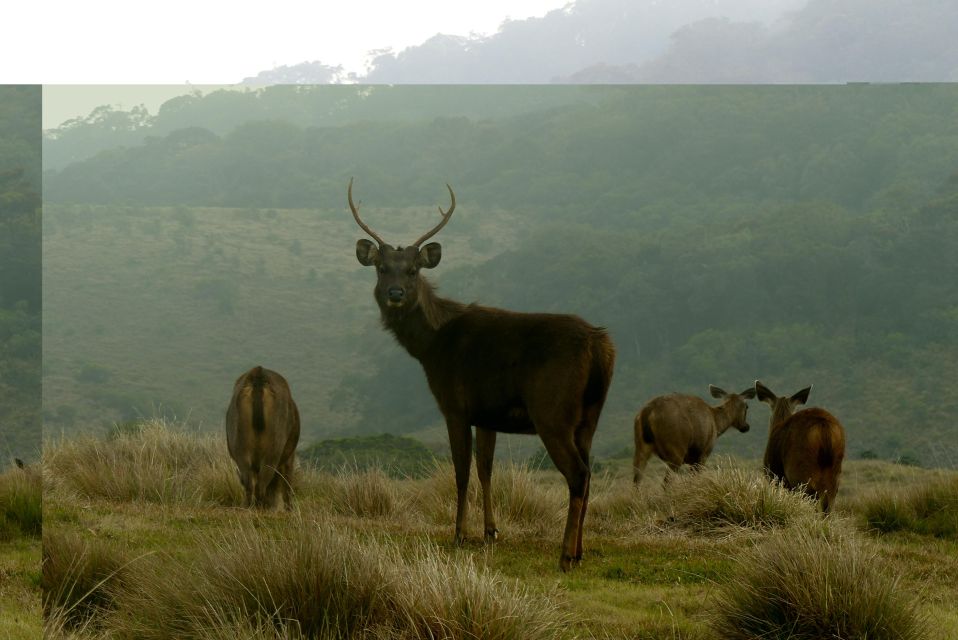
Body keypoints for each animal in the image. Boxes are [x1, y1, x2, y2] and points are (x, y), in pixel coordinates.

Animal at [225, 364, 300, 510]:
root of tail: (258, 373)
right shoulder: (289, 457)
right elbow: (287, 484)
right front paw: (289, 509)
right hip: (274, 449)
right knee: (263, 483)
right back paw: (262, 507)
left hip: (240, 446)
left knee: (249, 482)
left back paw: (248, 507)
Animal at [348, 179, 620, 568]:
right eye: (381, 268)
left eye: (414, 269)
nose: (395, 293)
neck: (432, 347)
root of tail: (601, 346)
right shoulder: (487, 413)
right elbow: (486, 469)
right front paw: (491, 531)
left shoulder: (455, 405)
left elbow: (461, 471)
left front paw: (459, 534)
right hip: (590, 415)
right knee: (589, 471)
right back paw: (579, 550)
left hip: (553, 411)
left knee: (578, 473)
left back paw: (566, 554)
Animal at [632, 384, 760, 484]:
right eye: (747, 406)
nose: (746, 427)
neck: (716, 423)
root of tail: (648, 411)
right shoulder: (704, 453)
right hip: (675, 448)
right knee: (666, 482)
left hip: (641, 446)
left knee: (637, 479)